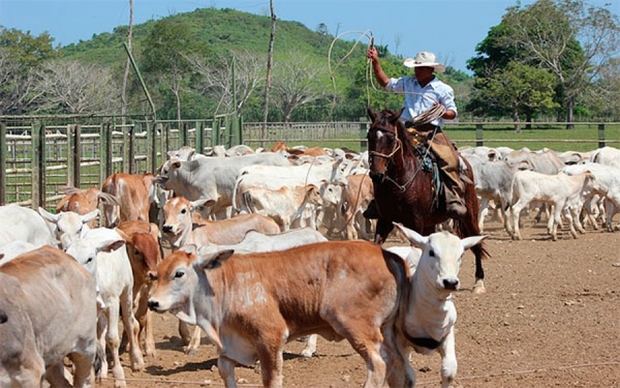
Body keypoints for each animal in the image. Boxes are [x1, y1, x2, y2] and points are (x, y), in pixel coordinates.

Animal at [148, 241, 414, 386]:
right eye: (156, 274)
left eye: (179, 273)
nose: (152, 302)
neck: (226, 285)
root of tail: (386, 253)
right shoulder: (227, 350)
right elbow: (226, 374)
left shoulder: (270, 338)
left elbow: (271, 379)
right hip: (388, 331)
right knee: (400, 367)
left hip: (357, 328)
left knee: (379, 365)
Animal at [366, 107, 486, 292]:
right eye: (369, 136)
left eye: (391, 138)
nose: (376, 174)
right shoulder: (384, 220)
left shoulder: (415, 221)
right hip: (430, 222)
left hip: (469, 214)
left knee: (476, 240)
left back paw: (479, 282)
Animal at [394, 223, 486, 388]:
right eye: (431, 252)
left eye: (461, 255)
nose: (450, 282)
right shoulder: (398, 340)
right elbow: (408, 377)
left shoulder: (448, 334)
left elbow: (449, 371)